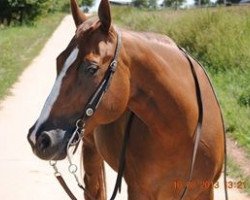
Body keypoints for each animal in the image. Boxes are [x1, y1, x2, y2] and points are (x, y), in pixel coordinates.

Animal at [26, 0, 225, 199]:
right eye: (58, 61)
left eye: (92, 68)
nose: (39, 138)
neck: (182, 133)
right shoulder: (139, 191)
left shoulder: (204, 190)